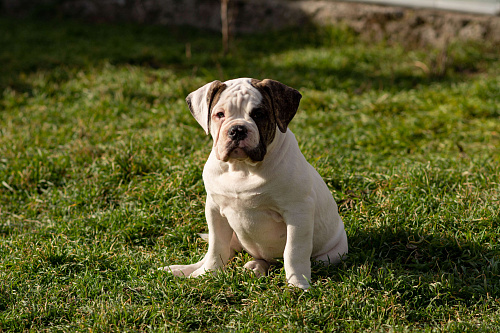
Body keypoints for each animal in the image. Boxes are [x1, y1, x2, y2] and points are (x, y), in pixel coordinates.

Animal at [160, 77, 348, 288]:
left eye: (258, 114)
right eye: (220, 114)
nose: (237, 129)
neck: (242, 168)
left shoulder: (298, 211)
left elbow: (294, 251)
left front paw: (298, 284)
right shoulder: (214, 210)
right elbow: (216, 247)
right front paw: (208, 274)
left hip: (332, 253)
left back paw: (257, 268)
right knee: (218, 252)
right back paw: (182, 270)